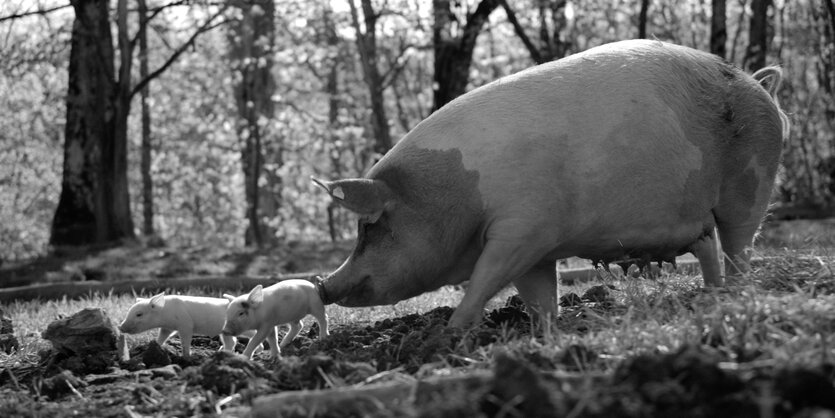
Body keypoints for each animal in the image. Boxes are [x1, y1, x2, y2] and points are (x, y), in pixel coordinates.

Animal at [314, 39, 792, 328]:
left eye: (370, 227)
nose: (323, 285)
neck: (453, 196)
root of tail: (756, 81)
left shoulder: (524, 228)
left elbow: (484, 279)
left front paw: (447, 334)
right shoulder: (538, 249)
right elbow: (538, 294)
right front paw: (546, 331)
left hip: (751, 182)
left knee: (738, 247)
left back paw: (736, 295)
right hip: (698, 212)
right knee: (709, 246)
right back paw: (711, 297)